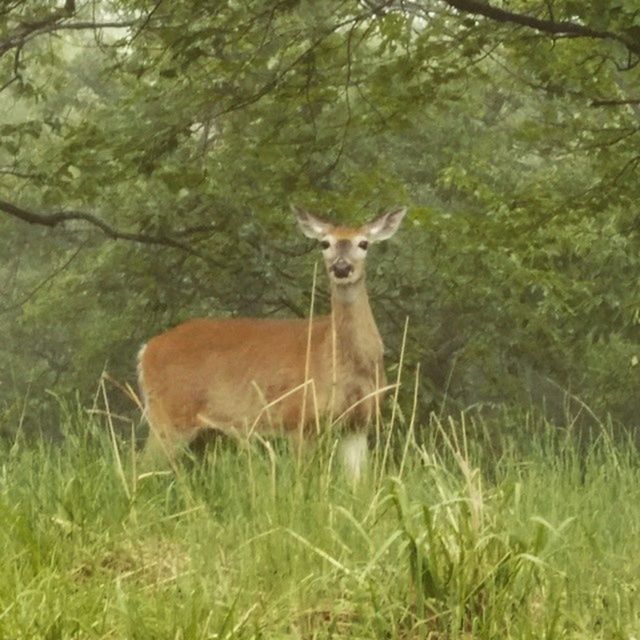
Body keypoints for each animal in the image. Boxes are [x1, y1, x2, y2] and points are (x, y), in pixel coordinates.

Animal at [138, 206, 408, 480]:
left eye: (363, 243)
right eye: (325, 243)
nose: (341, 268)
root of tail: (147, 349)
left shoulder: (359, 423)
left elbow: (359, 483)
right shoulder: (299, 418)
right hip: (170, 414)